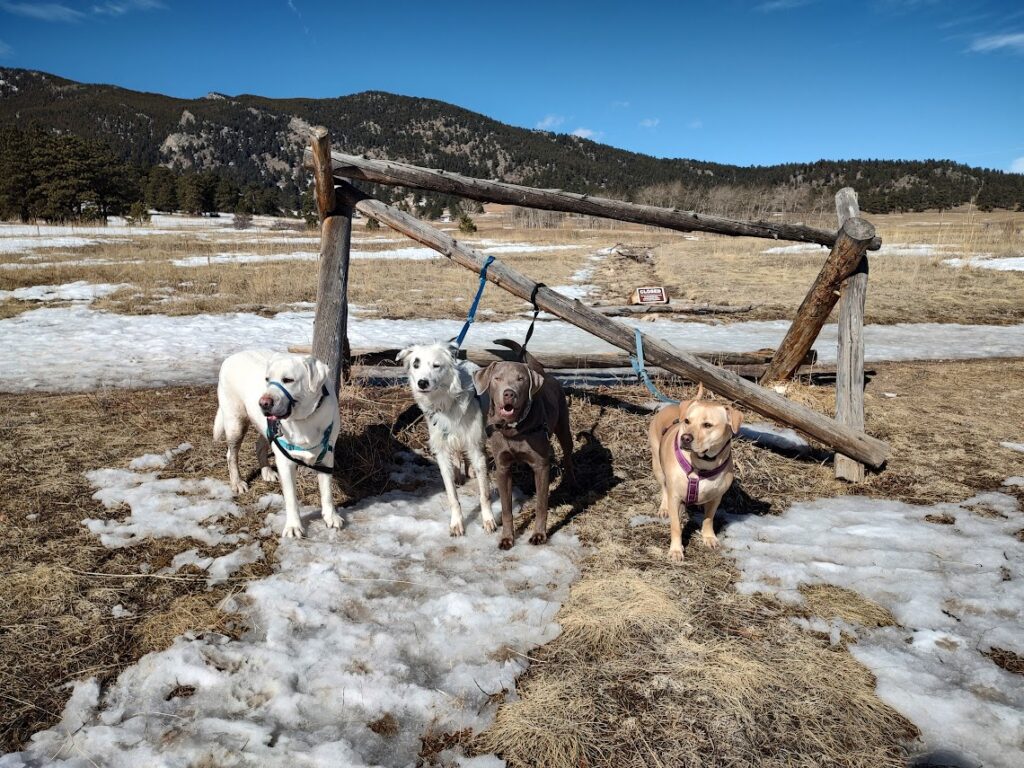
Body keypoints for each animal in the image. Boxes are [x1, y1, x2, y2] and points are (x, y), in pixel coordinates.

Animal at [214, 350, 342, 540]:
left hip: (267, 428)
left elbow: (327, 493)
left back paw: (266, 471)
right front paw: (294, 526)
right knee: (231, 455)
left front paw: (331, 517)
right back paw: (237, 483)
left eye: (288, 380)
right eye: (267, 379)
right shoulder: (285, 462)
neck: (304, 419)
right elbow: (291, 498)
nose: (263, 403)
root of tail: (232, 355)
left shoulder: (326, 457)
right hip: (235, 423)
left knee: (259, 445)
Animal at [397, 342, 497, 536]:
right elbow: (452, 495)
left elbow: (484, 494)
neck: (446, 402)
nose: (422, 383)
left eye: (436, 365)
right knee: (457, 454)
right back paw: (458, 473)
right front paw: (456, 523)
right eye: (415, 364)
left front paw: (488, 520)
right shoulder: (441, 451)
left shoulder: (475, 446)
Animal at [473, 339, 577, 548]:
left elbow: (541, 505)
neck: (514, 430)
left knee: (568, 454)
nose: (509, 393)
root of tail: (544, 374)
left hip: (563, 426)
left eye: (520, 379)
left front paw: (539, 534)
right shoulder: (502, 467)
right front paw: (507, 538)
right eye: (497, 378)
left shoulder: (541, 465)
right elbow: (506, 508)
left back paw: (571, 482)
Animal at [651, 387, 741, 561]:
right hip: (657, 466)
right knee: (664, 487)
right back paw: (664, 508)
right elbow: (676, 526)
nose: (685, 438)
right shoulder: (675, 496)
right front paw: (676, 550)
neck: (702, 464)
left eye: (707, 425)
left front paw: (709, 537)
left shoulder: (716, 497)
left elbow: (709, 519)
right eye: (687, 421)